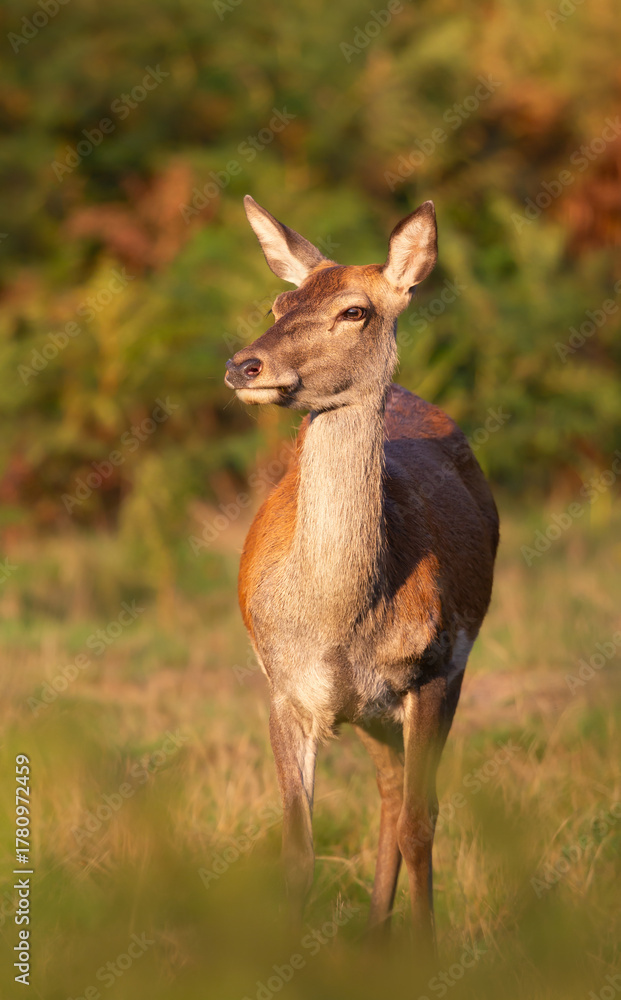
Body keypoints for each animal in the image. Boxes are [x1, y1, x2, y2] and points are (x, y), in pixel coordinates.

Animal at [224, 195, 499, 951]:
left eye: (355, 311)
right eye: (280, 300)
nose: (242, 365)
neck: (337, 625)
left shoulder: (432, 670)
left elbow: (422, 827)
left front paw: (428, 954)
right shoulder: (281, 687)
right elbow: (298, 849)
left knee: (401, 806)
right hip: (372, 713)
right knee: (384, 792)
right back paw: (374, 935)